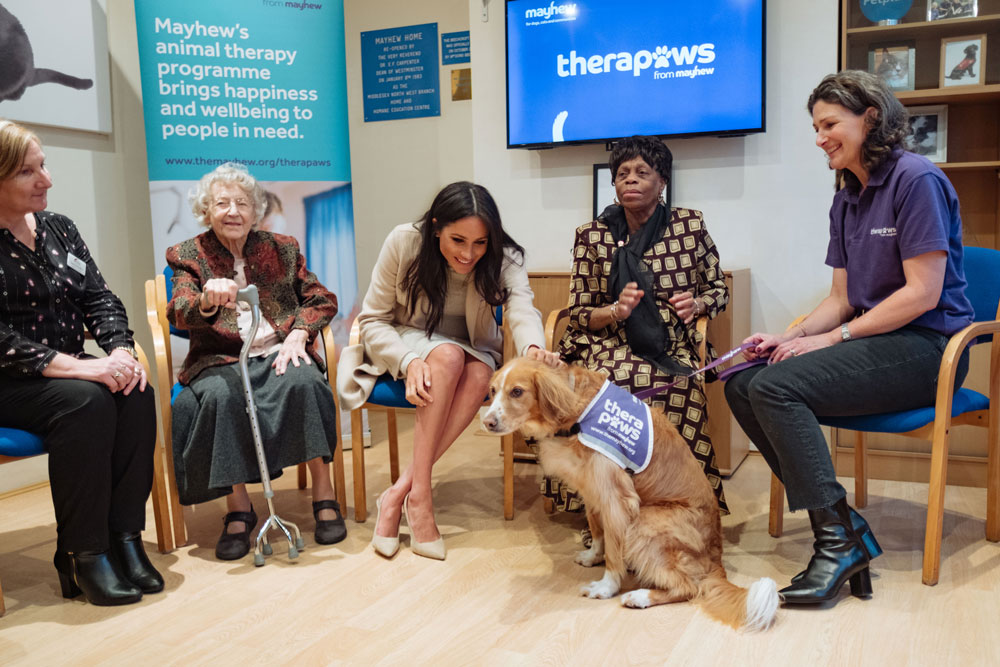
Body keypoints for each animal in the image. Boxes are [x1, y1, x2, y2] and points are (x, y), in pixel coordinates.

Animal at [480, 358, 776, 628]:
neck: (578, 414)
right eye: (492, 390)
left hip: (645, 522)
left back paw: (641, 596)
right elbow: (598, 532)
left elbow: (614, 550)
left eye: (517, 391)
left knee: (689, 587)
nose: (487, 422)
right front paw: (592, 556)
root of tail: (716, 556)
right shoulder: (592, 489)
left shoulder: (617, 499)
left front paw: (606, 587)